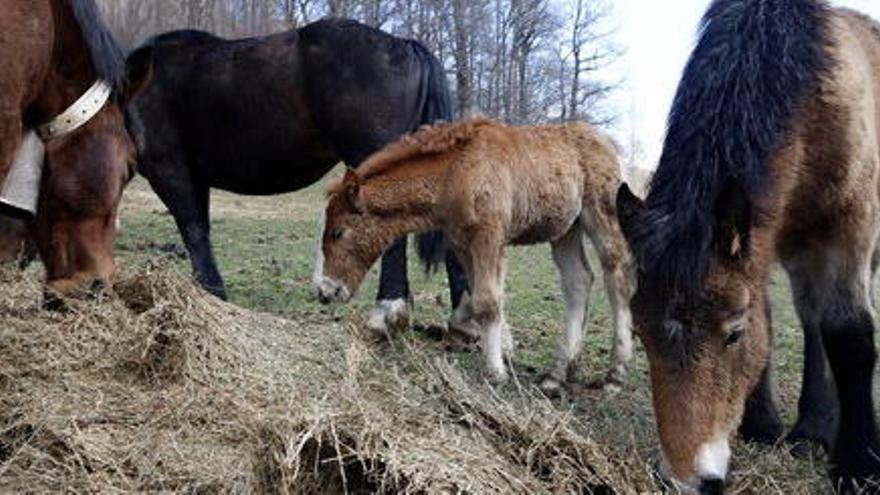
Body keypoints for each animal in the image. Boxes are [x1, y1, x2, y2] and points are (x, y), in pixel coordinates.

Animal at [312, 119, 632, 388]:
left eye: (338, 233)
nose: (324, 290)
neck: (455, 173)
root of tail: (607, 140)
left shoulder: (489, 238)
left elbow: (488, 301)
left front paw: (495, 370)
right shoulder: (462, 243)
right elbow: (476, 295)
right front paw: (473, 328)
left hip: (601, 215)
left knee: (616, 277)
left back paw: (615, 373)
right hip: (565, 230)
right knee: (578, 281)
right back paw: (558, 372)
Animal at [616, 1, 880, 494]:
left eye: (734, 333)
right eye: (640, 333)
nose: (686, 481)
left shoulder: (849, 231)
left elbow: (850, 335)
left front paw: (860, 464)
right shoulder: (771, 242)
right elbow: (780, 324)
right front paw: (765, 426)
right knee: (811, 320)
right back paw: (812, 427)